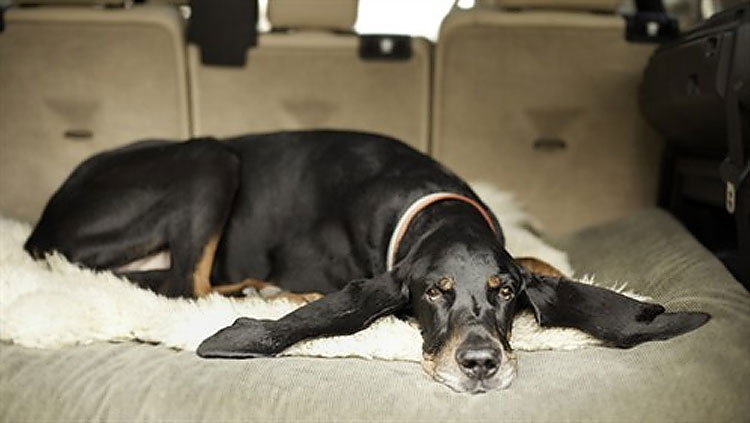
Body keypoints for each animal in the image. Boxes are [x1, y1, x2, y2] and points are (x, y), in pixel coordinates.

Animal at [25, 131, 712, 396]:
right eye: (433, 292)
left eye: (505, 291)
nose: (481, 363)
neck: (430, 203)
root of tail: (43, 225)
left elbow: (541, 256)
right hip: (210, 158)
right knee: (184, 282)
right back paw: (265, 292)